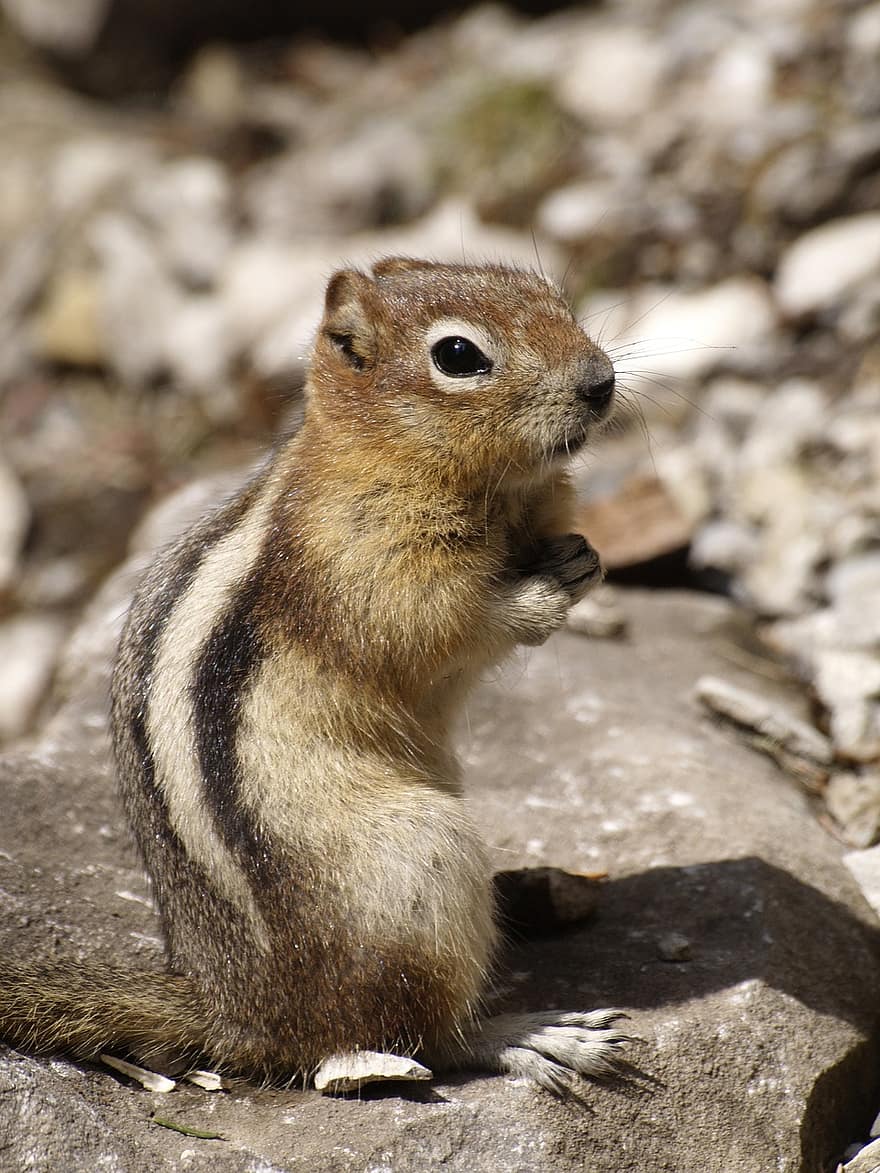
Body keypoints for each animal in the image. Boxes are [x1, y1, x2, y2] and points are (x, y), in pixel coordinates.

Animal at [0, 256, 624, 1088]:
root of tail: (243, 1012)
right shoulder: (368, 569)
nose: (602, 381)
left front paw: (583, 560)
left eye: (549, 293)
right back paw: (533, 1033)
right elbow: (445, 623)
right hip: (418, 867)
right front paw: (539, 599)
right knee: (419, 1032)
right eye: (459, 355)